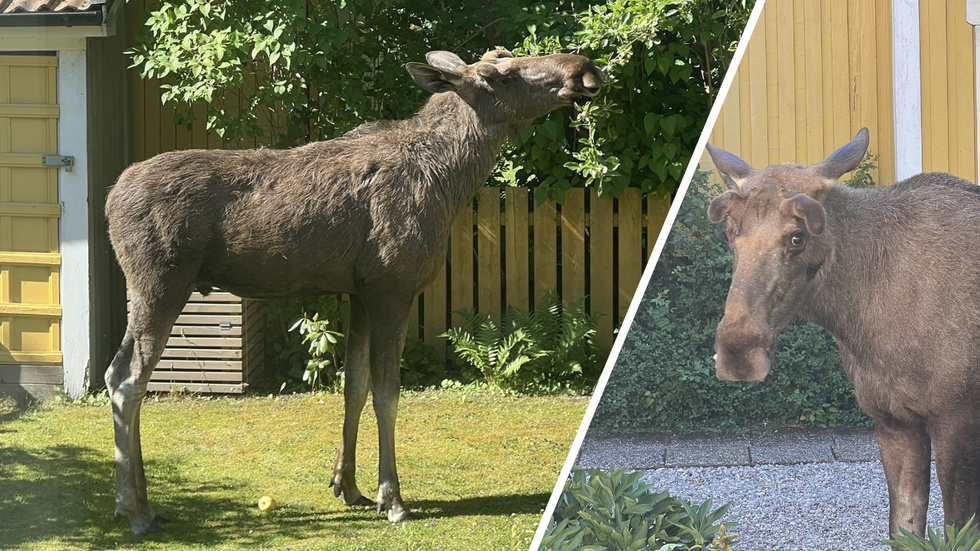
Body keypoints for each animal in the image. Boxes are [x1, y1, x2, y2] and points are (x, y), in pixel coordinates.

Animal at [103, 50, 600, 536]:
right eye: (504, 75)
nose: (583, 68)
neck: (452, 181)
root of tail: (109, 201)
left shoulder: (359, 293)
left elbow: (354, 387)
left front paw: (348, 486)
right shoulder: (392, 289)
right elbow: (387, 393)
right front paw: (392, 499)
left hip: (149, 291)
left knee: (114, 374)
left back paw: (139, 502)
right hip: (161, 282)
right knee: (130, 382)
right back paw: (135, 510)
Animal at [704, 127, 980, 536]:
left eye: (797, 236)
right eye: (728, 234)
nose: (738, 353)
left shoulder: (957, 419)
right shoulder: (892, 420)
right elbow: (904, 528)